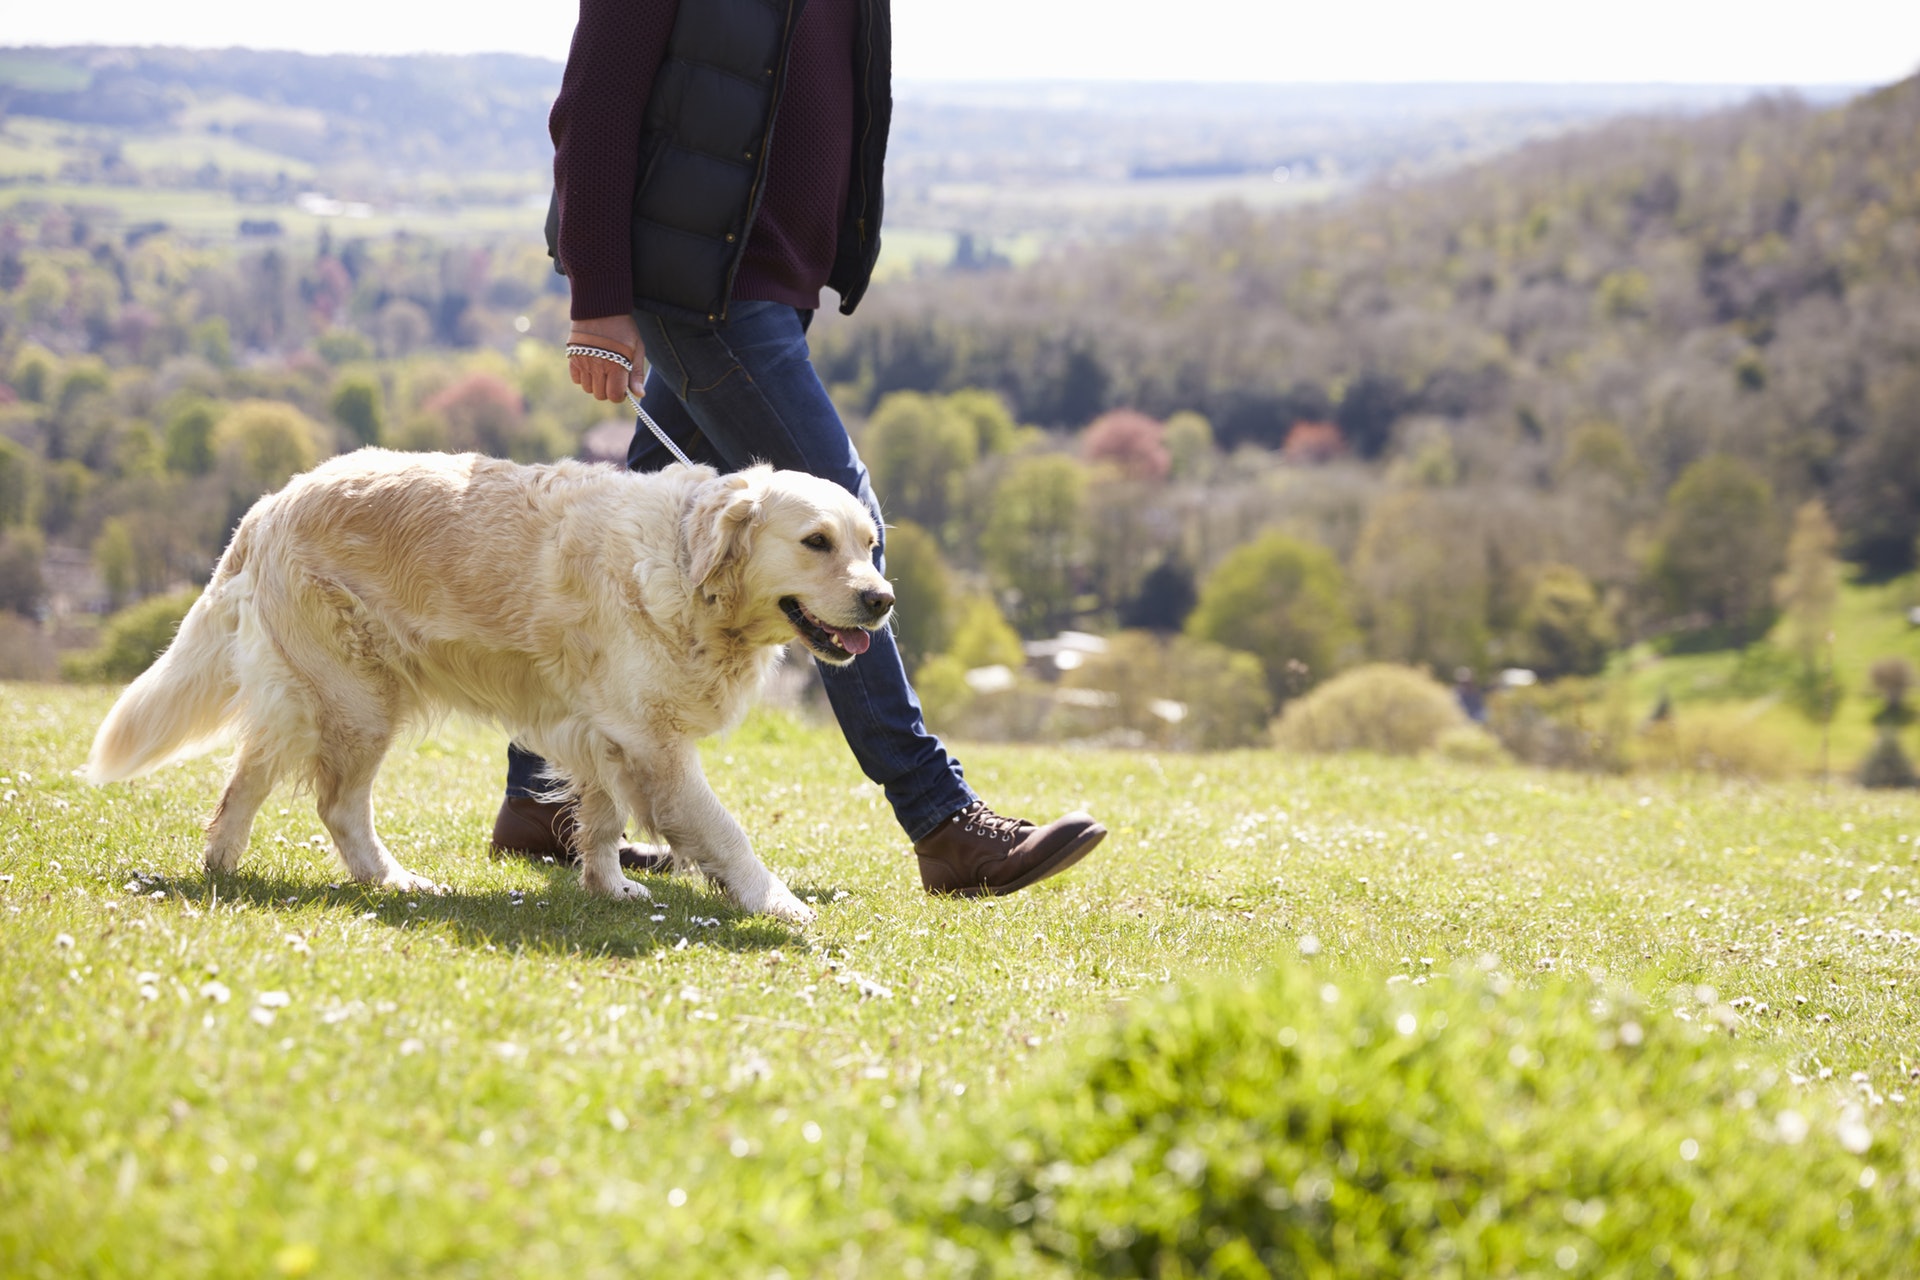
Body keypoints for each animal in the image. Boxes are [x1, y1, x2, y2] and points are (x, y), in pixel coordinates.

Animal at [82, 450, 898, 921]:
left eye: (869, 544)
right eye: (816, 542)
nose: (882, 600)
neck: (685, 567)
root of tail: (269, 503)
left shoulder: (606, 731)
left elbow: (603, 820)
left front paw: (609, 886)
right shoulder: (654, 740)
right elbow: (724, 830)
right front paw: (778, 902)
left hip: (314, 696)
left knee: (243, 782)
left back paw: (226, 866)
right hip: (358, 699)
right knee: (334, 804)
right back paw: (391, 879)